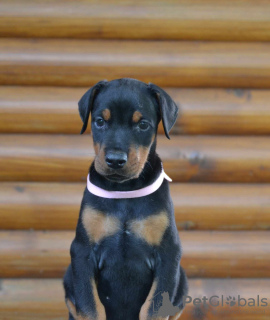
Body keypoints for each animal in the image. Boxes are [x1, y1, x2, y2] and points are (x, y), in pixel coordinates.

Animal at [63, 78, 188, 320]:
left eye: (143, 125)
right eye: (100, 121)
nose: (115, 160)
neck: (124, 191)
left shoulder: (168, 254)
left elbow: (154, 308)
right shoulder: (82, 252)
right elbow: (90, 306)